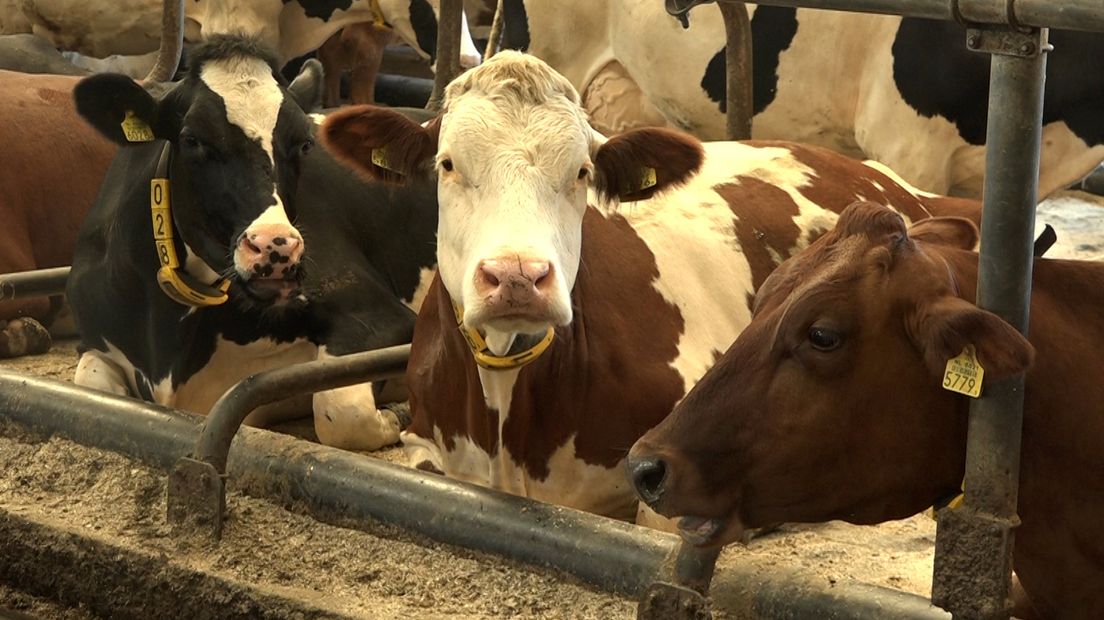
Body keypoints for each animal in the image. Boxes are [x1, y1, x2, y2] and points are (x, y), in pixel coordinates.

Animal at [65, 33, 439, 445]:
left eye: (305, 143)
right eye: (192, 139)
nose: (276, 246)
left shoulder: (380, 315)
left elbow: (340, 413)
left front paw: (395, 416)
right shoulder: (96, 341)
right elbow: (88, 387)